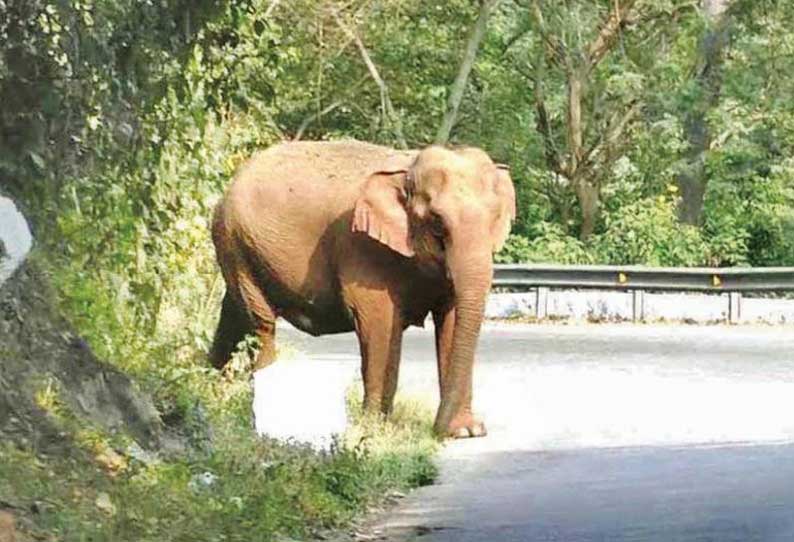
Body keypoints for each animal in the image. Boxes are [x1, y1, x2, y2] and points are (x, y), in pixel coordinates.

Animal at [209, 142, 512, 440]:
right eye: (437, 222)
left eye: (495, 217)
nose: (437, 430)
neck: (406, 168)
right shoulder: (362, 249)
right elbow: (380, 324)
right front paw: (376, 426)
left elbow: (450, 322)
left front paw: (464, 430)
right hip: (237, 244)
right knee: (262, 324)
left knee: (235, 314)